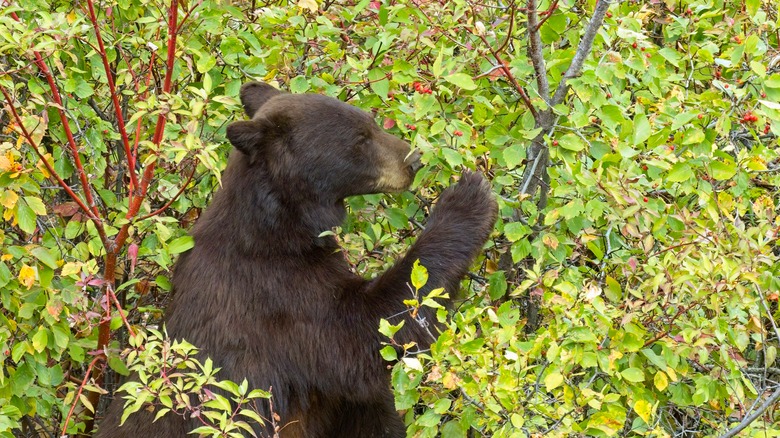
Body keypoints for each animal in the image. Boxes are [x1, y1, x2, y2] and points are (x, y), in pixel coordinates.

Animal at [95, 82, 498, 437]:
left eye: (371, 122)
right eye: (359, 139)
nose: (412, 159)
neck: (279, 229)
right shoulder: (279, 296)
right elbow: (362, 336)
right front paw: (468, 198)